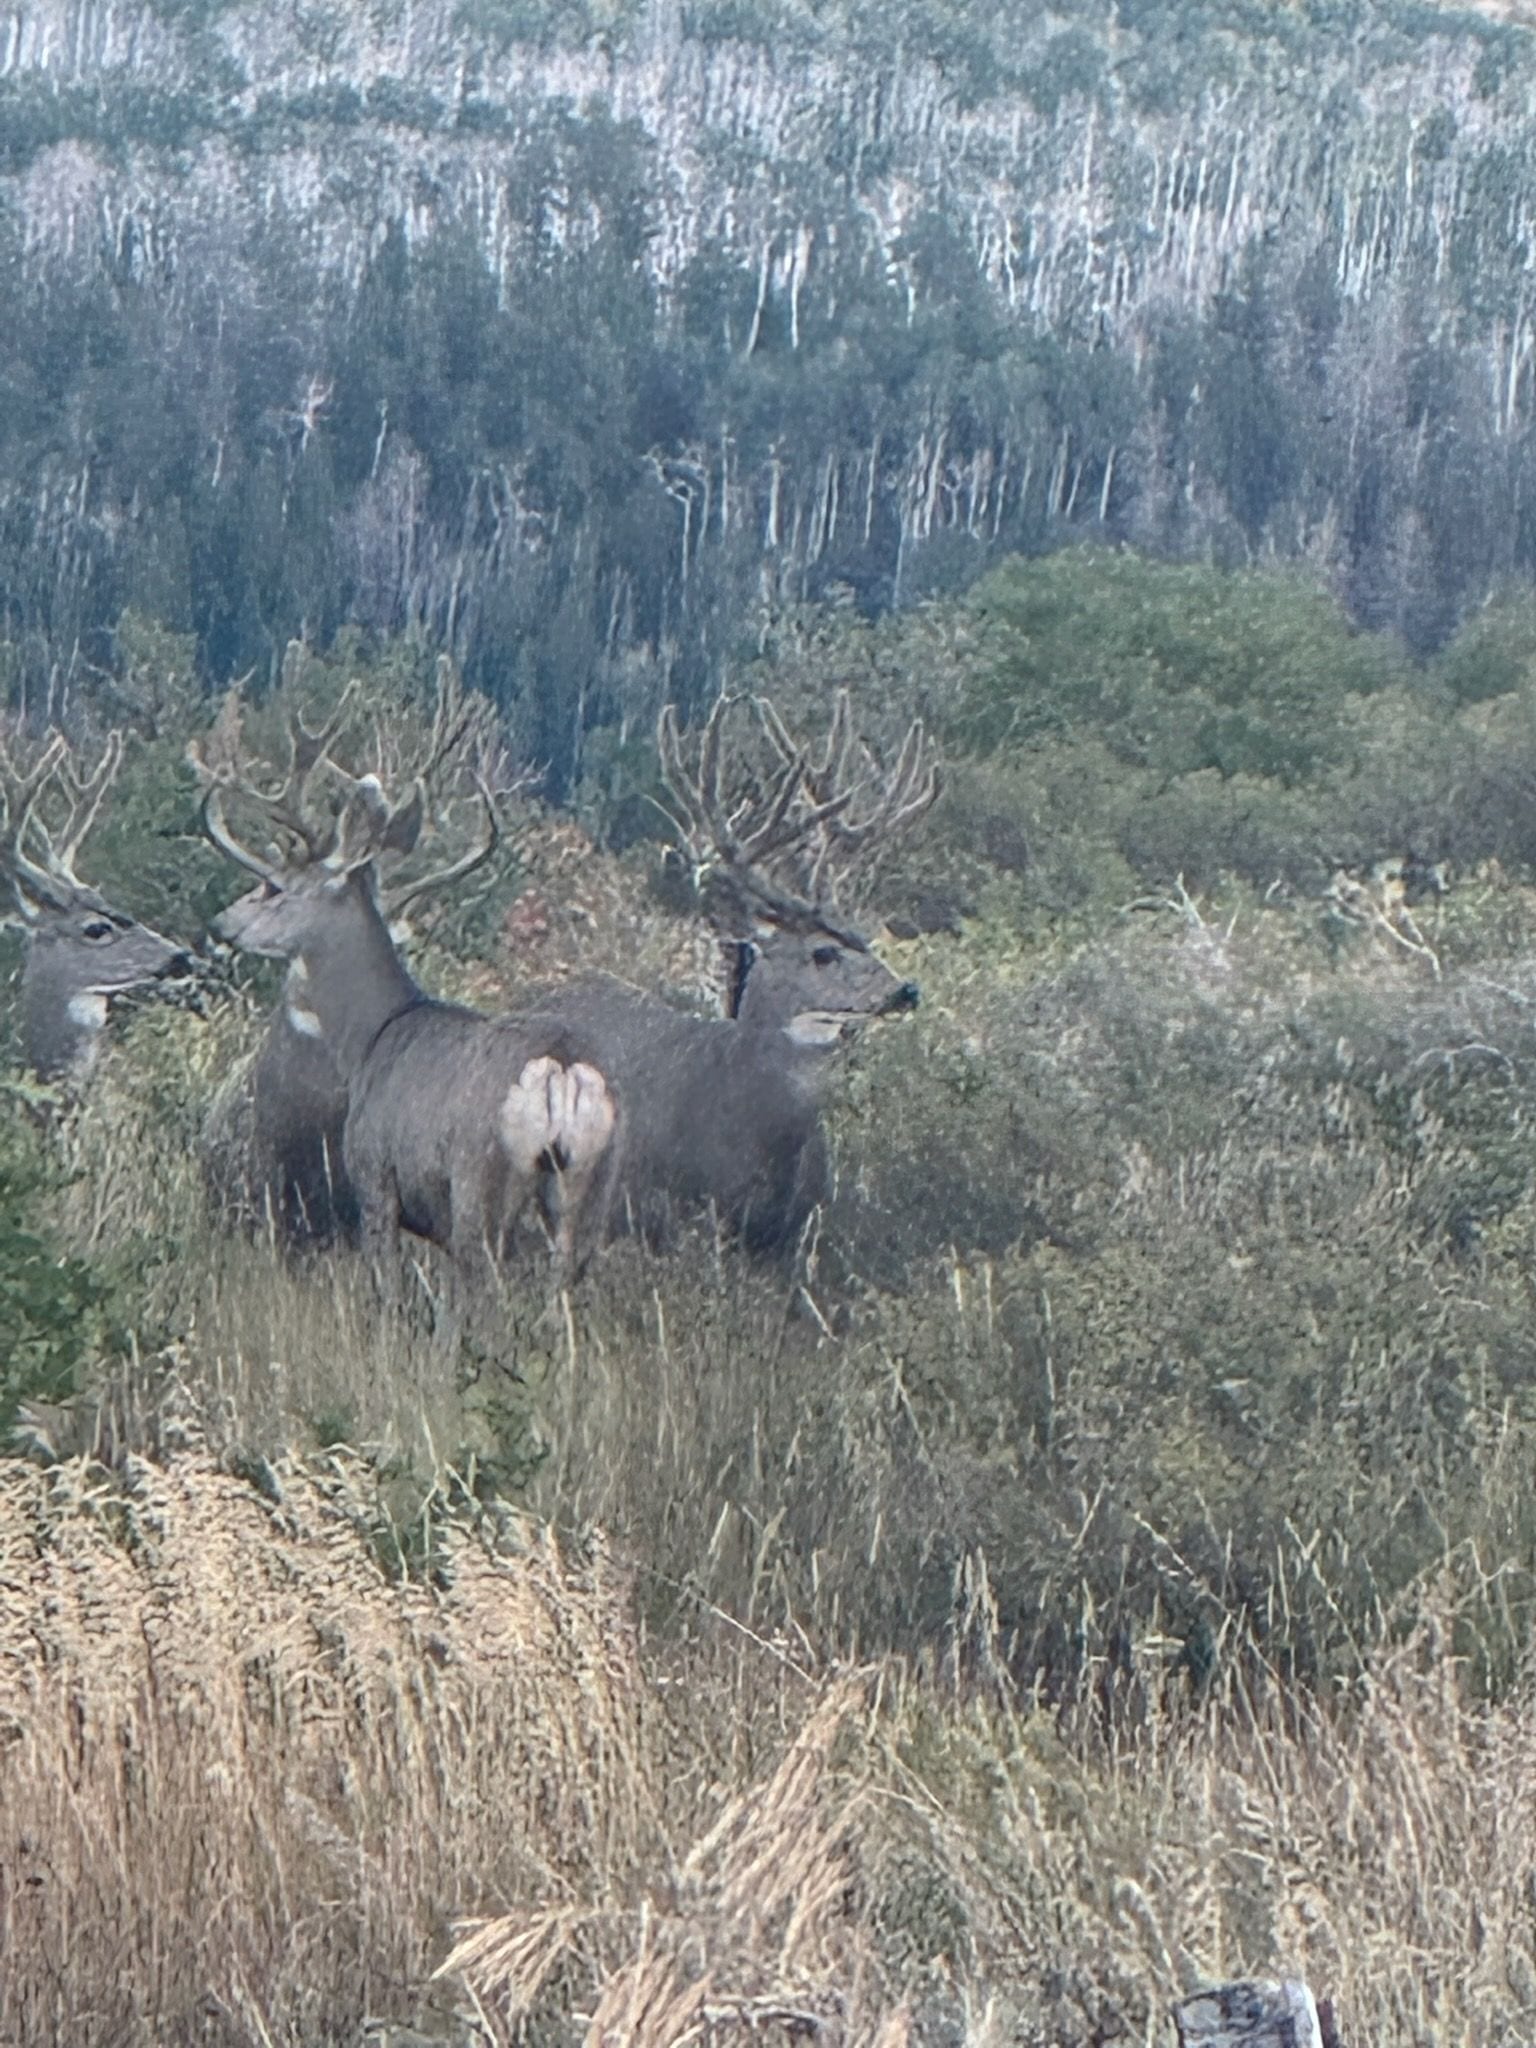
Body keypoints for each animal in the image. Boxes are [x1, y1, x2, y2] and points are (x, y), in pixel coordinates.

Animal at [192, 675, 620, 1280]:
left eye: (273, 887)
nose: (217, 925)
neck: (372, 1035)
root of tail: (559, 1071)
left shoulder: (374, 1179)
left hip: (479, 1188)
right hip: (591, 1189)